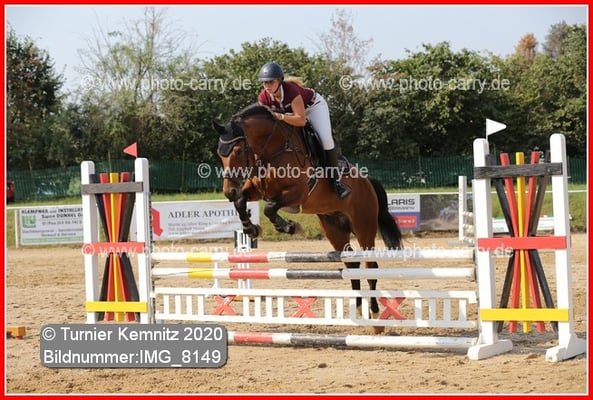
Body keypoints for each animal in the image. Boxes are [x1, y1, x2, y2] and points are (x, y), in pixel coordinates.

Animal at [213, 104, 403, 333]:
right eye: (219, 154)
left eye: (239, 151)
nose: (228, 191)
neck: (272, 149)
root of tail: (368, 183)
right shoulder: (256, 190)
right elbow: (242, 202)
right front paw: (252, 229)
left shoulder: (298, 193)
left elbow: (269, 208)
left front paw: (289, 226)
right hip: (334, 228)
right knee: (352, 265)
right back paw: (358, 309)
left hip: (364, 226)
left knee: (370, 267)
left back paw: (375, 317)